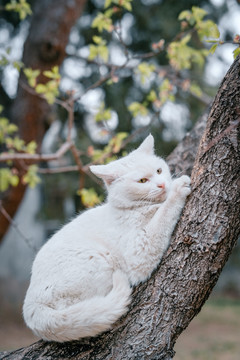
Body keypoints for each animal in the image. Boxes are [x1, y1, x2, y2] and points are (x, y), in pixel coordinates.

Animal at [23, 134, 191, 342]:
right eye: (142, 180)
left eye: (159, 170)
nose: (162, 184)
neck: (133, 208)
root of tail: (31, 307)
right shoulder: (139, 253)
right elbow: (164, 213)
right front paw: (177, 189)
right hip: (98, 260)